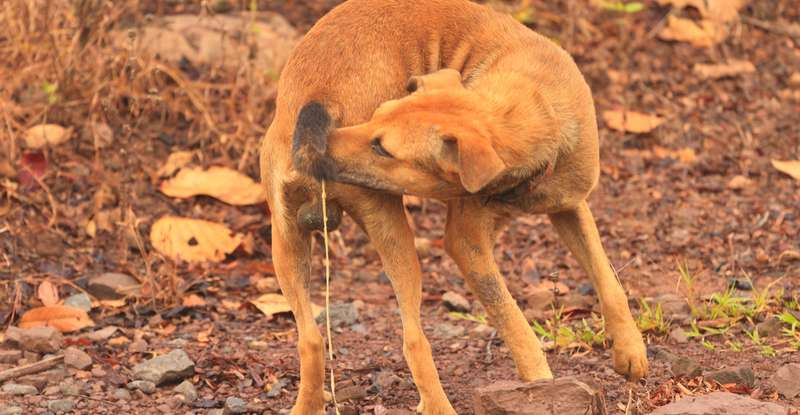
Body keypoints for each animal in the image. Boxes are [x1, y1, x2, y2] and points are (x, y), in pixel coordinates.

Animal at [262, 1, 648, 414]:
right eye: (375, 117)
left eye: (382, 147)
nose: (327, 143)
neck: (534, 109)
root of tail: (311, 98)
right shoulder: (466, 243)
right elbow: (512, 318)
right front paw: (541, 384)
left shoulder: (569, 206)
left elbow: (608, 279)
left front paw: (630, 350)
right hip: (392, 235)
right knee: (414, 340)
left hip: (287, 244)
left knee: (311, 340)